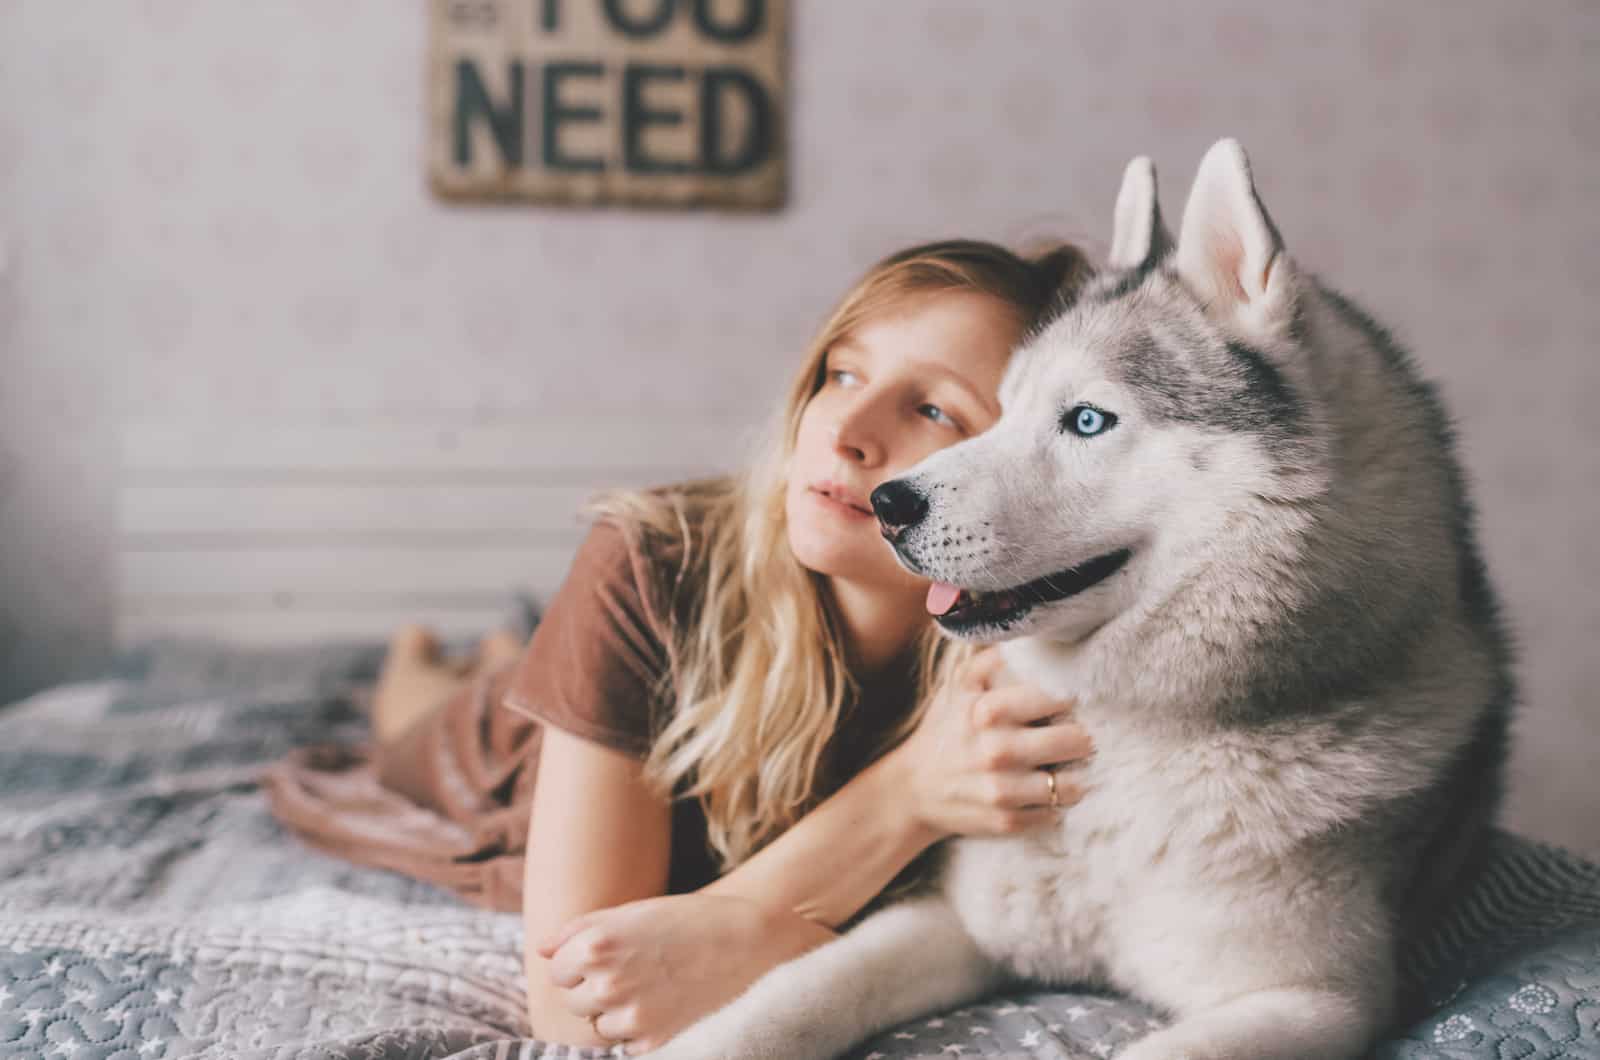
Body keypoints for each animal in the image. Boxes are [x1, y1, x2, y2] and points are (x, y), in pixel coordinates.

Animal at [640, 140, 1510, 1060]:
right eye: (998, 409)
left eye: (1088, 420)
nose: (888, 504)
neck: (1134, 735)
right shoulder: (960, 920)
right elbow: (797, 991)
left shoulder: (1316, 1000)